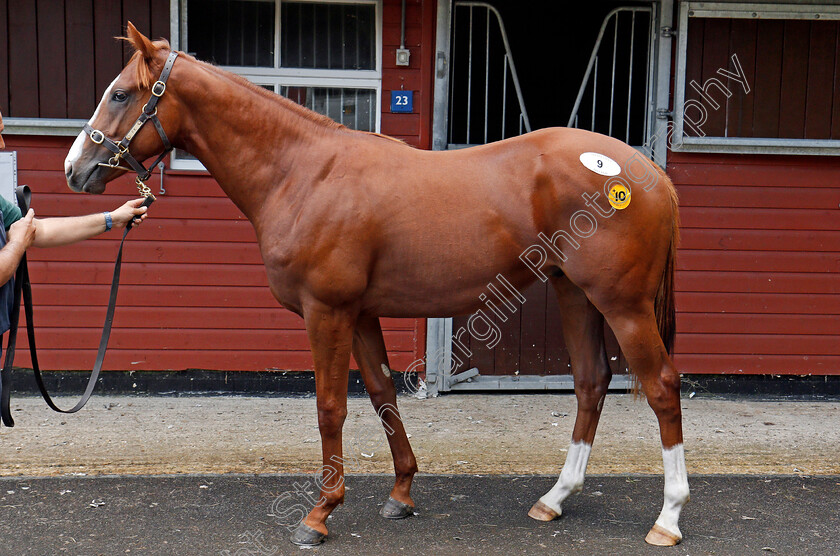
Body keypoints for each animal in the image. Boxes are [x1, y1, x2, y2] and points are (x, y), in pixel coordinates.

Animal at [62, 25, 684, 548]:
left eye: (120, 94)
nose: (75, 169)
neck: (303, 172)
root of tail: (652, 173)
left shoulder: (327, 311)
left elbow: (330, 408)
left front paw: (319, 514)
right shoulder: (360, 313)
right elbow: (384, 394)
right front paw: (401, 493)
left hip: (623, 305)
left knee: (661, 386)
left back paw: (668, 518)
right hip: (574, 294)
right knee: (591, 383)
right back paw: (554, 499)